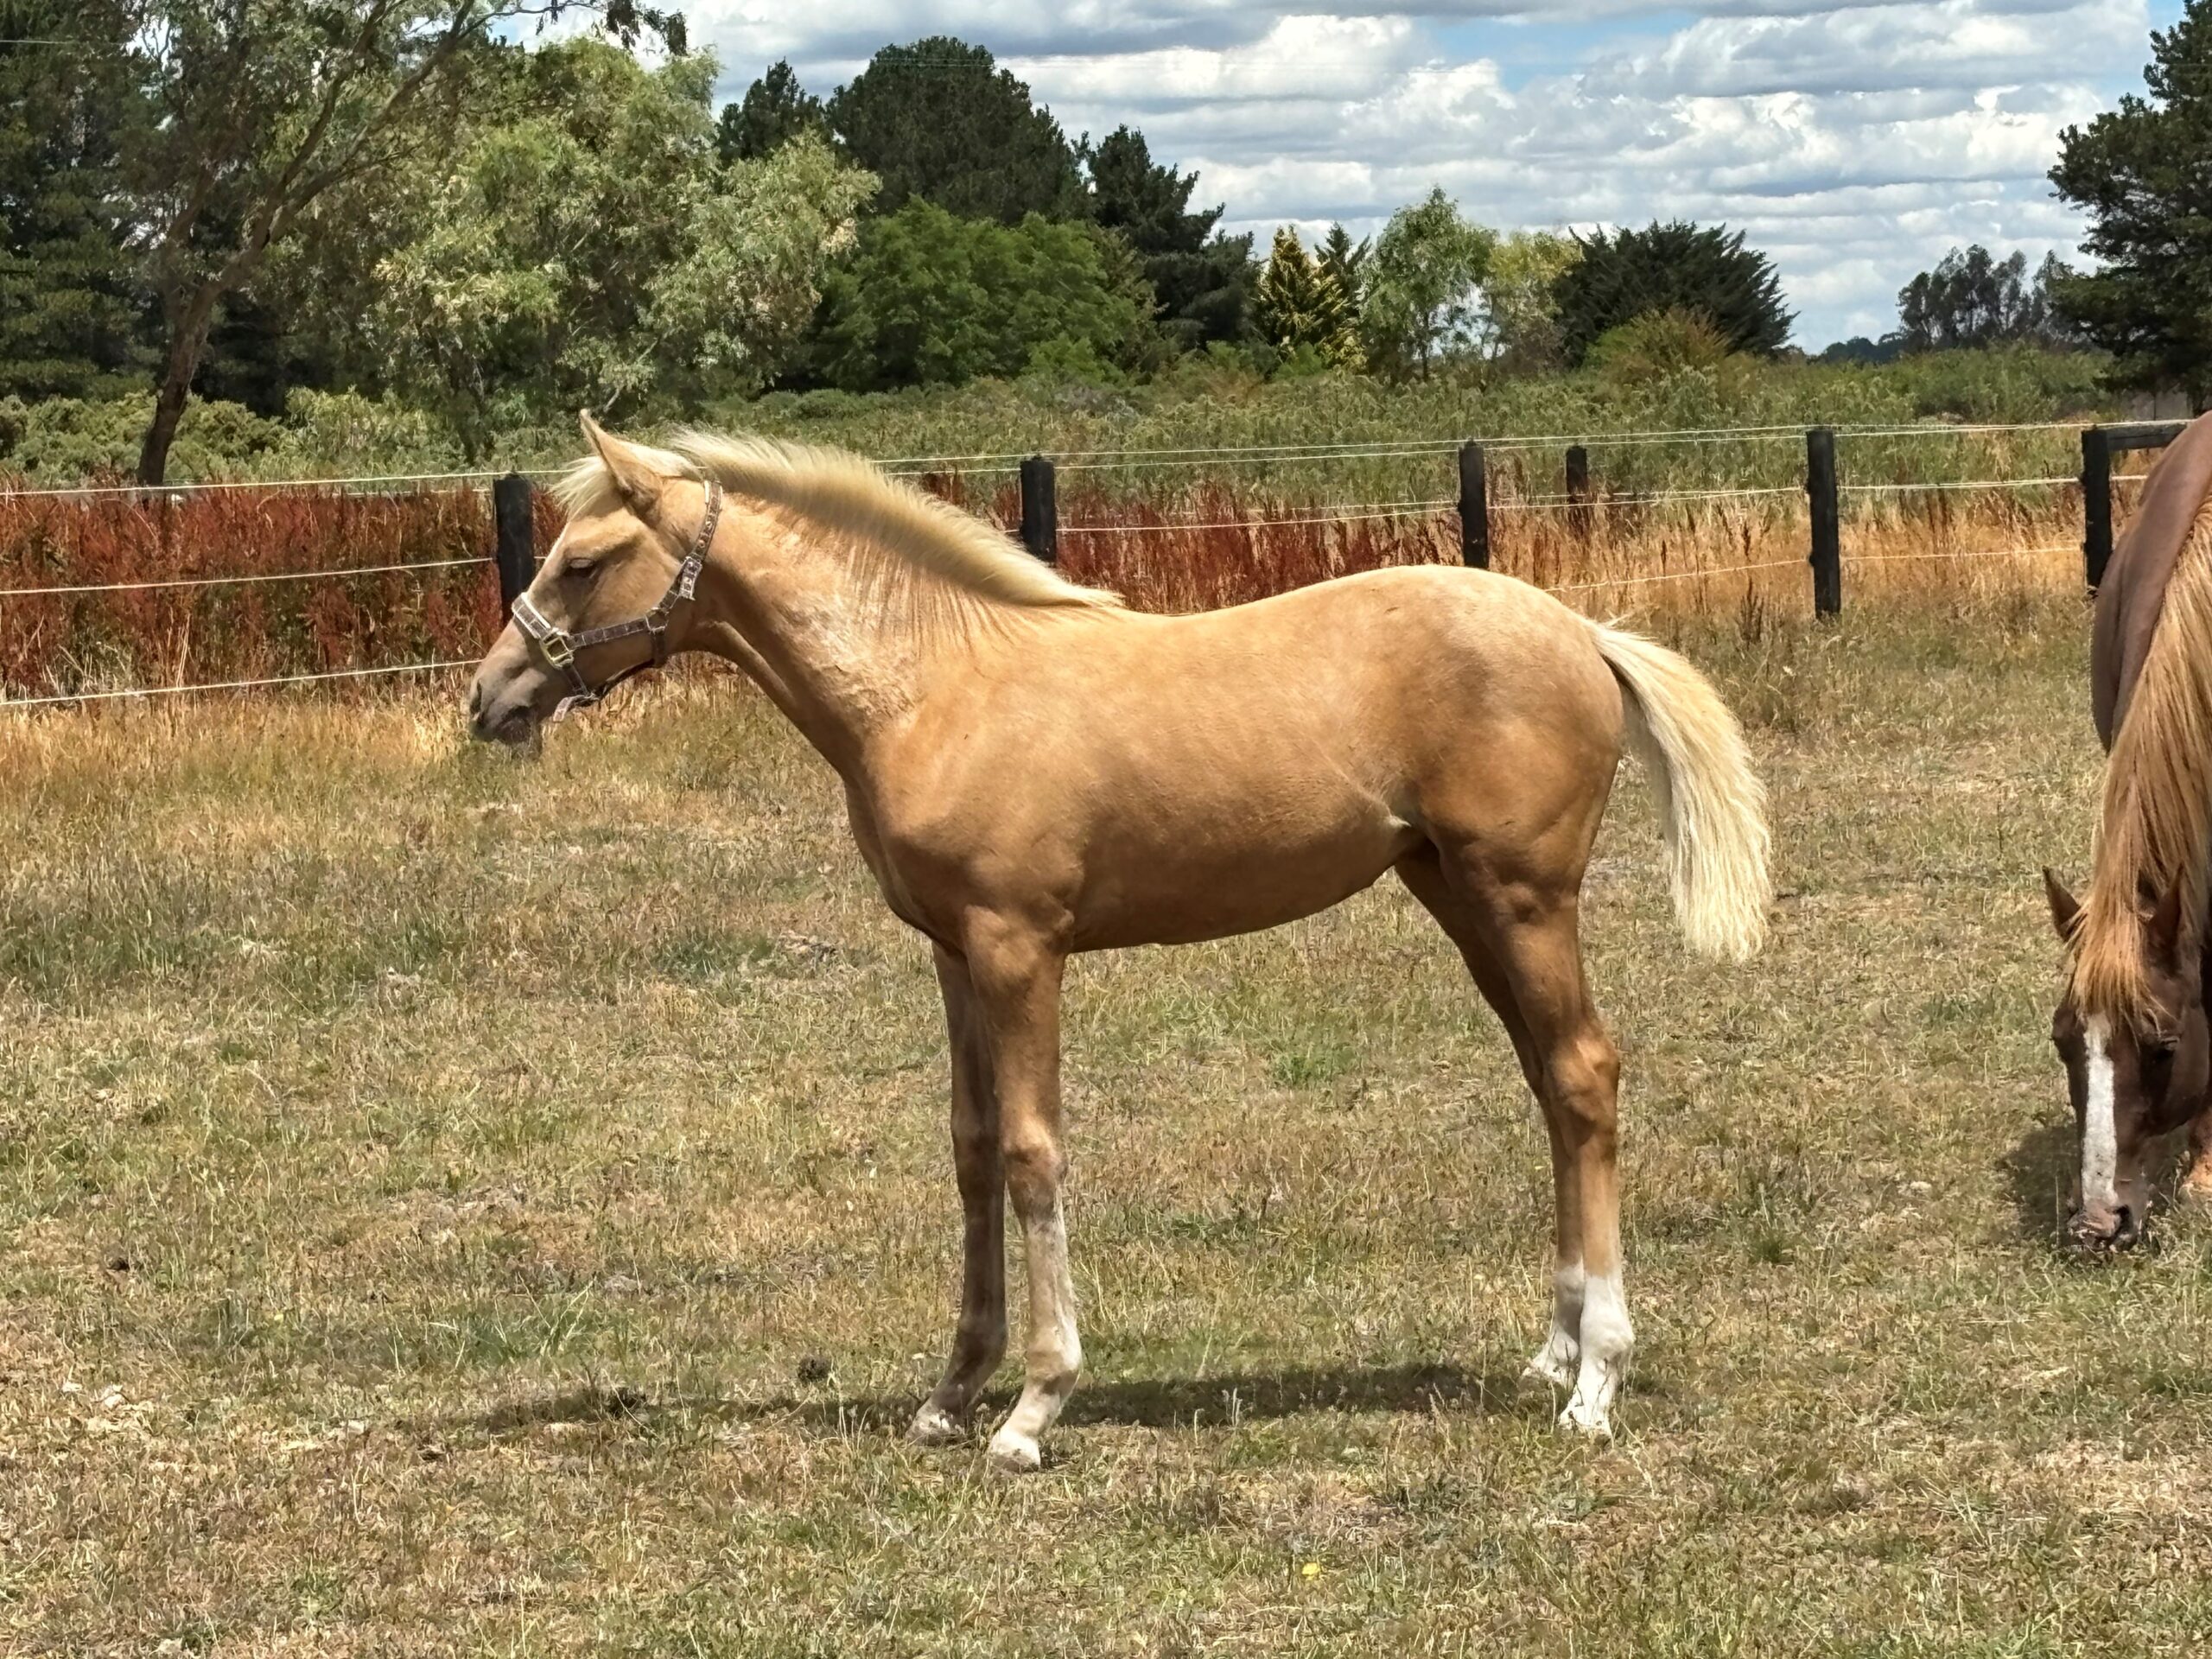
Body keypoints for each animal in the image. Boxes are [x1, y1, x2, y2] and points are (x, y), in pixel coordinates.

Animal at [467, 414, 1772, 1467]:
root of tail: (1585, 631)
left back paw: (1595, 1384)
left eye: (583, 563)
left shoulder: (1019, 947)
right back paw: (1553, 1353)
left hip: (1523, 896)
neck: (935, 688)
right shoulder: (951, 953)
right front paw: (949, 1396)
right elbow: (971, 1149)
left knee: (1585, 1074)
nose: (490, 700)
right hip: (1456, 896)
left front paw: (1034, 1409)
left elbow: (1033, 1153)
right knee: (1550, 1086)